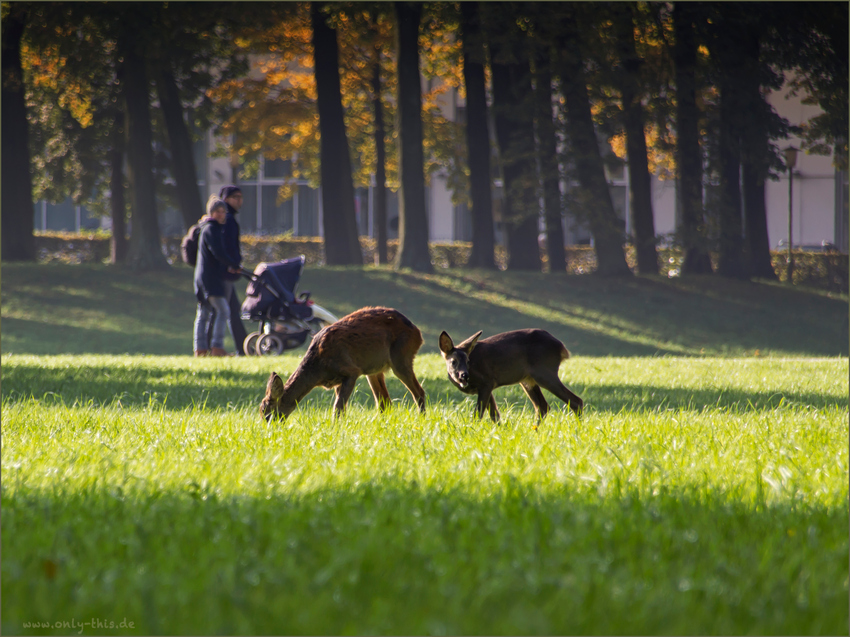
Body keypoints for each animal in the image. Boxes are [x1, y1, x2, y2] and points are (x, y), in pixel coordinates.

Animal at [258, 306, 428, 420]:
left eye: (268, 414)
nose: (270, 431)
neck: (318, 369)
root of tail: (418, 332)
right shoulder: (338, 381)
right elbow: (342, 408)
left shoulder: (351, 371)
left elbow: (338, 407)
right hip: (373, 370)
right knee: (385, 402)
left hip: (401, 356)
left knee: (419, 392)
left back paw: (421, 419)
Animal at [438, 328, 584, 422]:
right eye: (453, 361)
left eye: (468, 361)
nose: (464, 375)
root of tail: (562, 347)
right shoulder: (487, 386)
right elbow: (495, 415)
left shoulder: (487, 381)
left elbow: (478, 414)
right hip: (528, 379)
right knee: (543, 407)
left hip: (545, 372)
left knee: (576, 401)